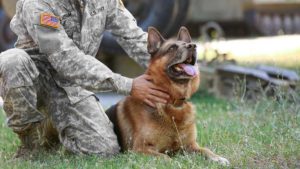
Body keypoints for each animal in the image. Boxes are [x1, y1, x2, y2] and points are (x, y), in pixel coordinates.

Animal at [105, 27, 230, 166]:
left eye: (188, 44)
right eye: (172, 48)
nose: (193, 46)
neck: (172, 103)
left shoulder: (191, 145)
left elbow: (205, 150)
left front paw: (217, 158)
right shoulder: (140, 149)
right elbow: (164, 157)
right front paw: (175, 163)